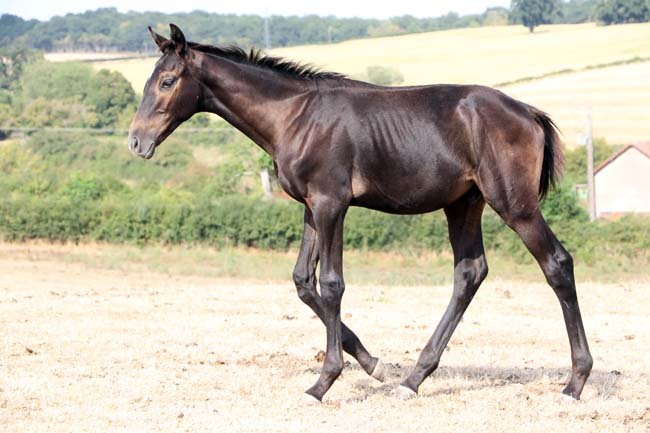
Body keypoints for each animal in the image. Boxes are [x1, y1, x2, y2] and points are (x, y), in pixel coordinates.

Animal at [128, 24, 592, 403]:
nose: (136, 142)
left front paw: (323, 383)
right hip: (463, 204)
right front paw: (375, 365)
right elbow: (303, 281)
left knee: (556, 263)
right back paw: (413, 380)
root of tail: (528, 112)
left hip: (515, 205)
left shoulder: (331, 203)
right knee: (470, 272)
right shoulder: (311, 208)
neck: (295, 116)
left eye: (167, 81)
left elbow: (332, 284)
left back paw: (575, 383)